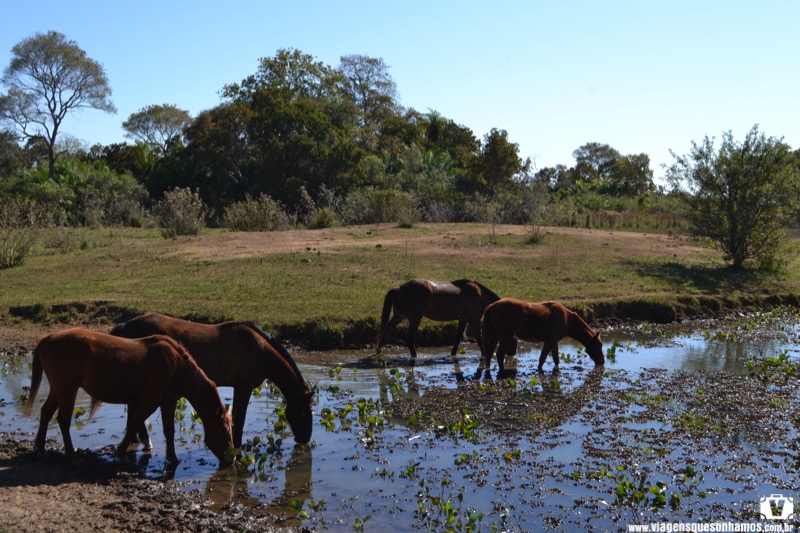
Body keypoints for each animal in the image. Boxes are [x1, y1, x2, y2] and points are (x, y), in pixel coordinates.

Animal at [26, 328, 233, 466]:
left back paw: (41, 449)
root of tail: (50, 337)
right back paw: (72, 456)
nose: (232, 459)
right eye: (226, 431)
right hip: (67, 390)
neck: (176, 366)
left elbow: (169, 430)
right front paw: (121, 453)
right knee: (63, 420)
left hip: (58, 390)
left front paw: (173, 459)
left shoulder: (168, 402)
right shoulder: (149, 402)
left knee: (46, 413)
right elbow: (134, 424)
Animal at [108, 314, 312, 446]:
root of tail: (126, 325)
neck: (260, 349)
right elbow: (240, 418)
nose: (305, 439)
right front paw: (237, 445)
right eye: (303, 412)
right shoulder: (243, 386)